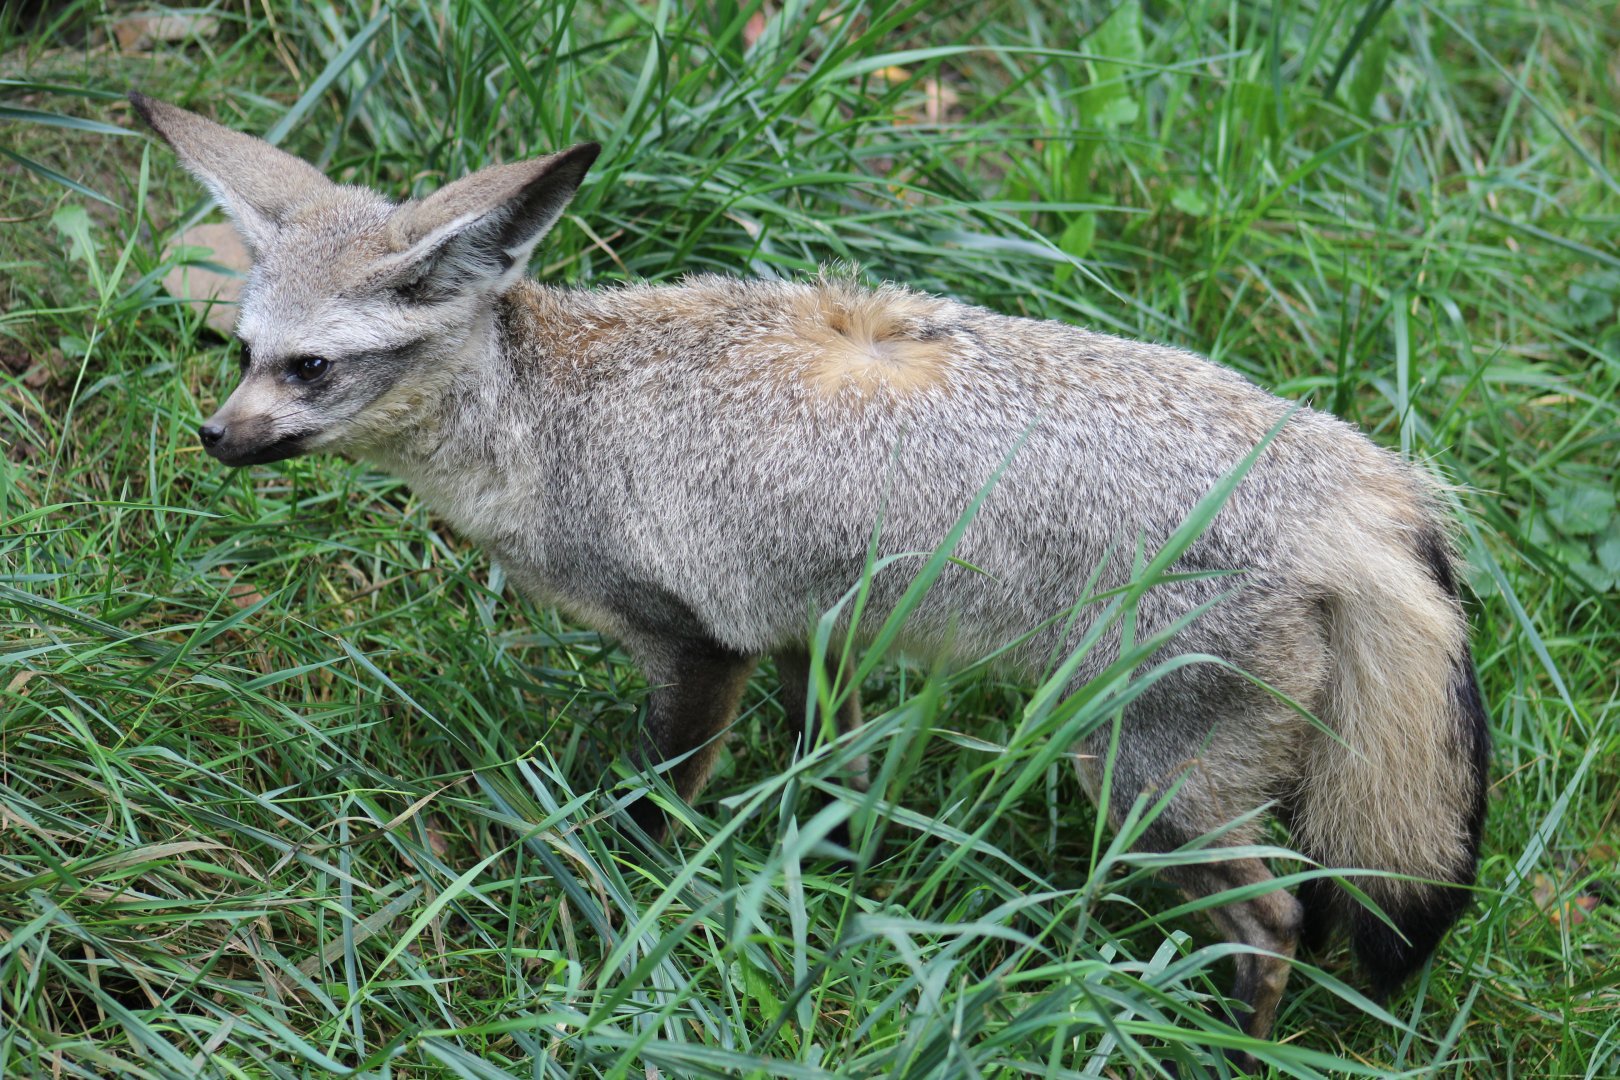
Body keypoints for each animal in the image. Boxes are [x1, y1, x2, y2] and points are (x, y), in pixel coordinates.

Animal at [129, 91, 1489, 1050]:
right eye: (241, 351)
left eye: (308, 370)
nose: (212, 437)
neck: (550, 414)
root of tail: (1361, 479)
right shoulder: (807, 633)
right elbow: (825, 775)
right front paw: (820, 869)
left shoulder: (696, 643)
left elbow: (651, 815)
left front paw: (626, 915)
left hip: (1143, 778)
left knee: (1278, 924)